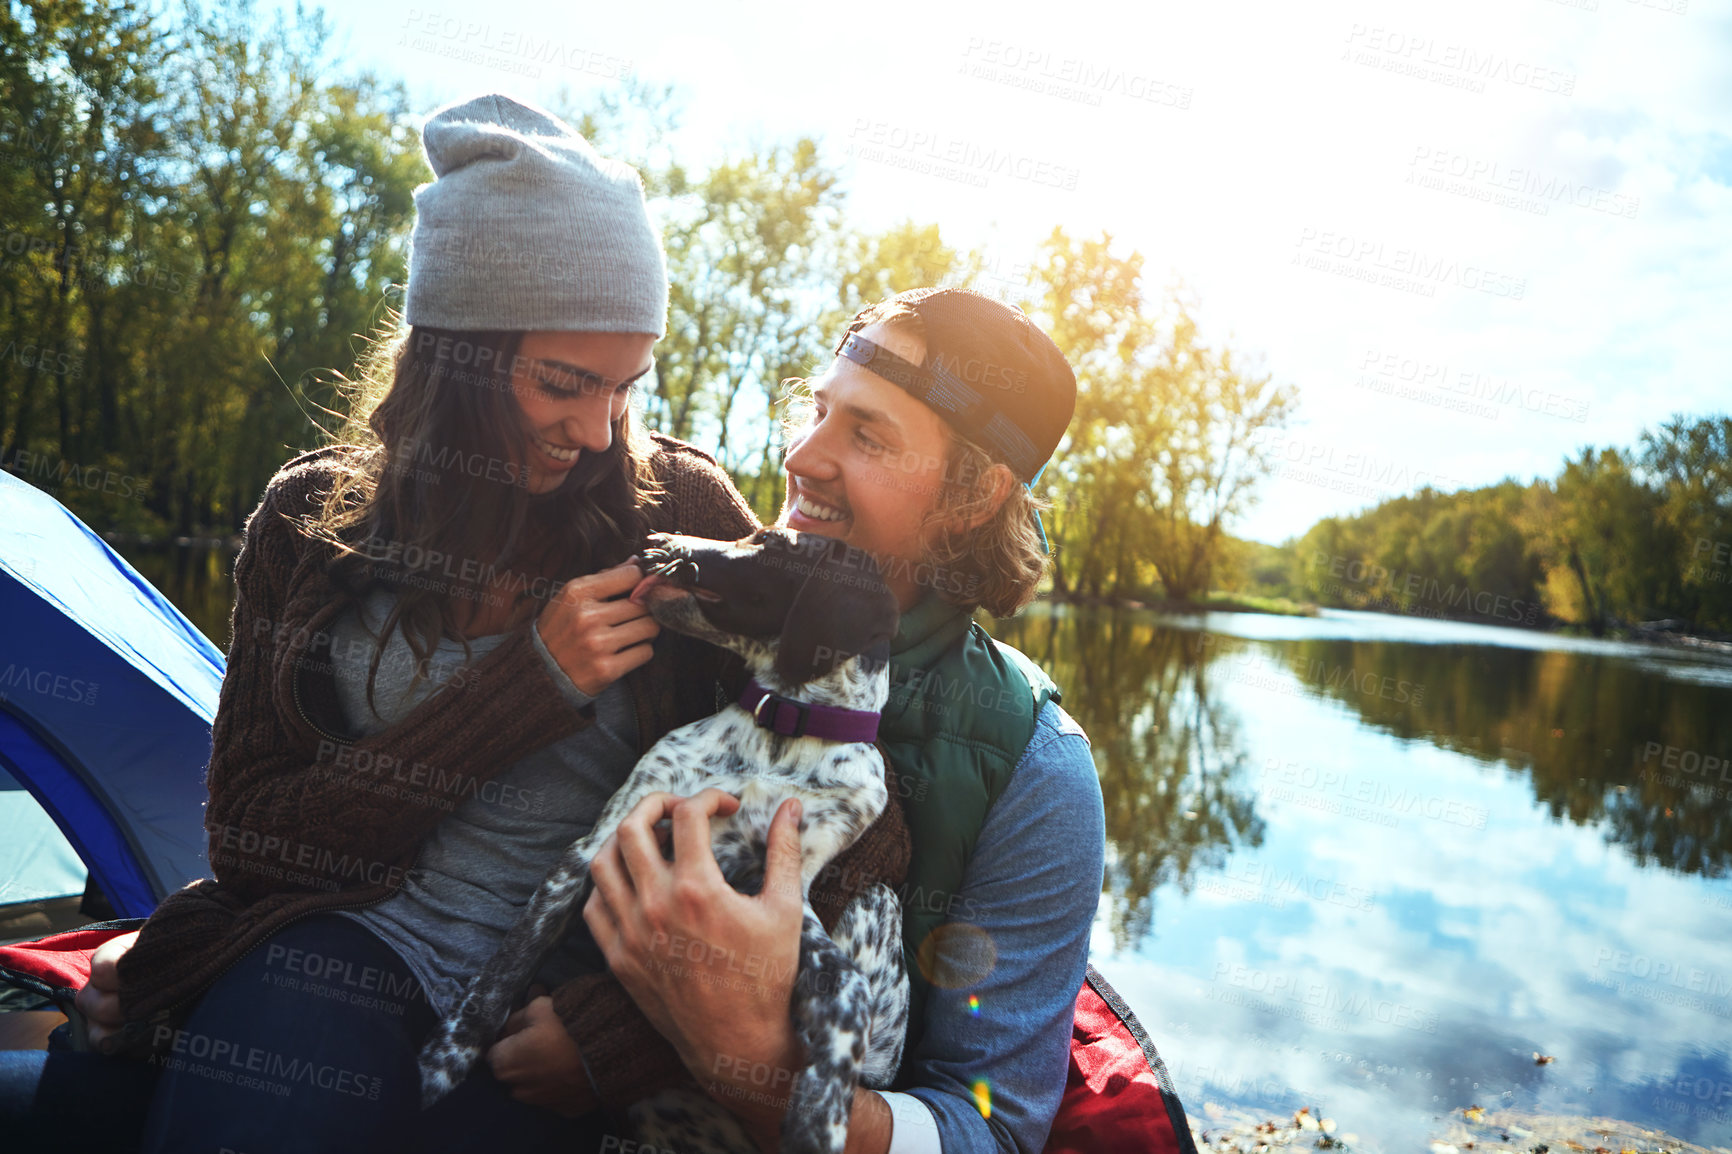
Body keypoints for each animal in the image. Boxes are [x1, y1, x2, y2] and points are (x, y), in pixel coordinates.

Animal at [413, 526, 914, 1150]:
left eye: (771, 542)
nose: (655, 538)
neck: (782, 730)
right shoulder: (594, 848)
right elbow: (506, 965)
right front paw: (444, 1061)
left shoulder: (779, 901)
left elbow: (849, 992)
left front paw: (819, 1119)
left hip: (879, 899)